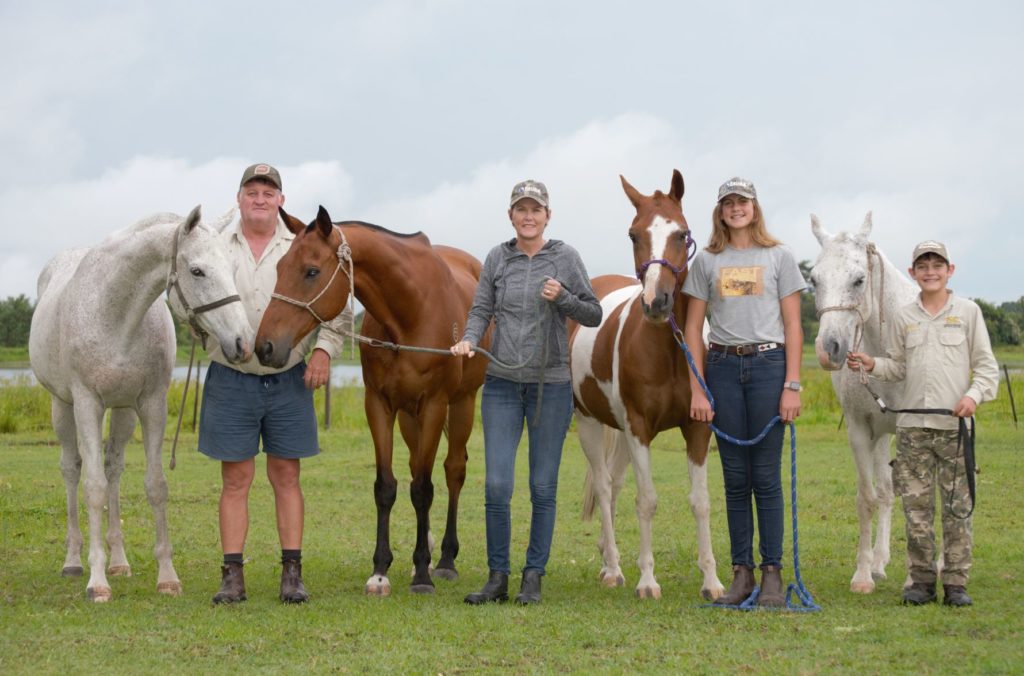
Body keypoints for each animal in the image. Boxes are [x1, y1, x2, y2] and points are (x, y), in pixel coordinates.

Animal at [251, 206, 487, 598]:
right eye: (281, 266)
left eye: (311, 271)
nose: (265, 346)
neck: (411, 313)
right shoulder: (379, 404)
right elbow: (387, 487)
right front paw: (381, 570)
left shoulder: (435, 404)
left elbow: (423, 489)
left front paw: (422, 576)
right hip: (409, 416)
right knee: (416, 468)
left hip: (462, 403)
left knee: (453, 470)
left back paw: (444, 560)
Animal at [569, 172, 729, 598]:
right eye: (633, 234)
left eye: (682, 233)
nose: (657, 302)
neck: (671, 352)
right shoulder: (639, 429)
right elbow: (647, 501)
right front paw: (647, 580)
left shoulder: (697, 427)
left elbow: (701, 501)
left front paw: (712, 582)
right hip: (590, 423)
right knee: (605, 487)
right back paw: (613, 569)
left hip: (621, 433)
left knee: (615, 483)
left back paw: (607, 558)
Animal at [811, 214, 917, 594]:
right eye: (814, 279)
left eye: (859, 280)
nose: (828, 349)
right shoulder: (859, 431)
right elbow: (868, 499)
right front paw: (862, 574)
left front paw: (916, 578)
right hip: (881, 435)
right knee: (885, 493)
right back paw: (879, 562)